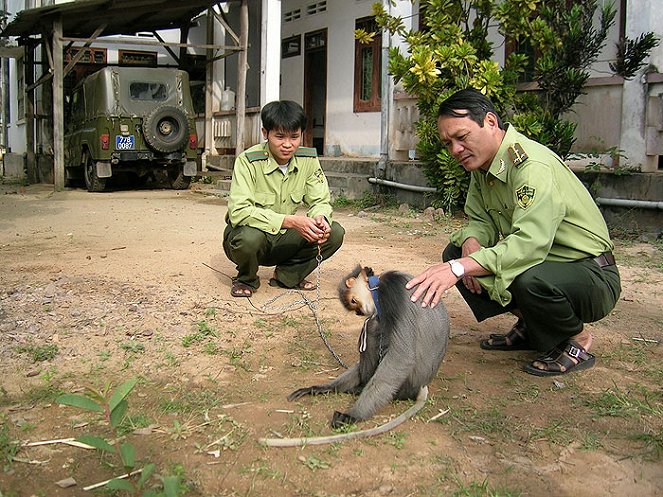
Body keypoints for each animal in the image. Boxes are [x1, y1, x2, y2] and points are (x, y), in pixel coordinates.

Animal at [286, 266, 452, 428]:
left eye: (353, 301)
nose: (359, 313)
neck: (379, 285)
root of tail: (422, 386)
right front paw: (322, 388)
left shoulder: (393, 293)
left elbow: (402, 359)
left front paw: (352, 415)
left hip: (406, 386)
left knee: (372, 325)